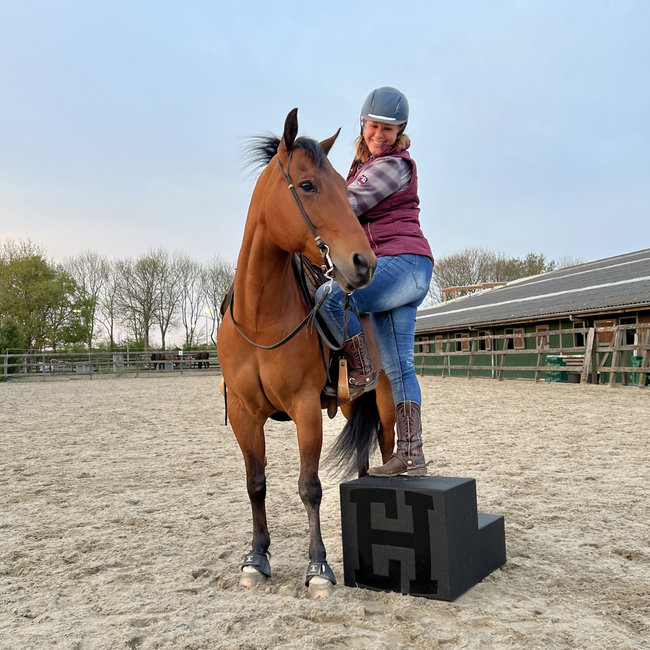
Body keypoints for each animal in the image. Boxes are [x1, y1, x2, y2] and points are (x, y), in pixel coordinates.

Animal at [217, 109, 396, 598]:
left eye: (343, 185)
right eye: (309, 184)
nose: (364, 263)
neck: (259, 318)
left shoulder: (304, 409)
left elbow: (309, 486)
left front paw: (319, 567)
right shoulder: (244, 414)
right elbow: (255, 483)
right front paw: (257, 557)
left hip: (386, 404)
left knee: (387, 450)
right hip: (354, 405)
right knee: (363, 460)